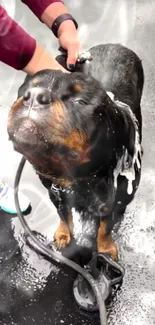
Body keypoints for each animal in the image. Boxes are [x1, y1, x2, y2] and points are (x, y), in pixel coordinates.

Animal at [7, 43, 144, 260]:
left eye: (81, 101)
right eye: (25, 90)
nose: (34, 96)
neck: (78, 176)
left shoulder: (114, 200)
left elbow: (106, 226)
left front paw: (105, 248)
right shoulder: (55, 192)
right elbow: (64, 215)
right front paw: (64, 234)